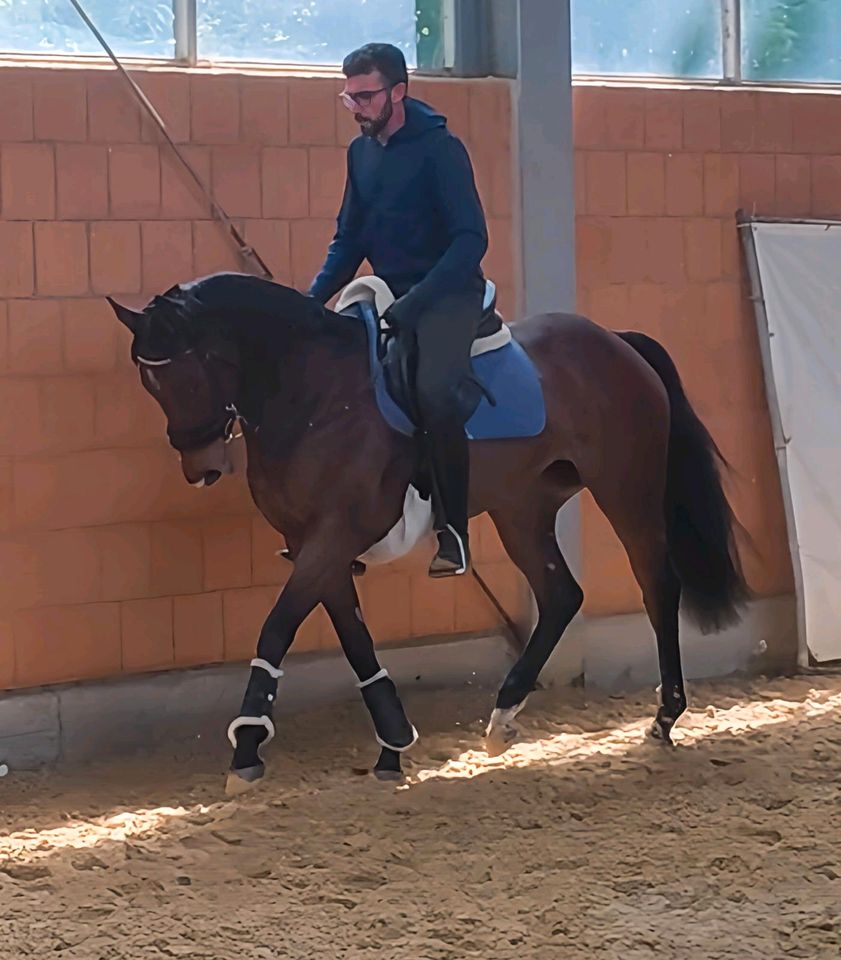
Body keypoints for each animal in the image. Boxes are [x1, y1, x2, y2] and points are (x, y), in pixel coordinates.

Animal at [106, 272, 748, 796]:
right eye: (151, 385)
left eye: (191, 374)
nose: (203, 468)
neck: (314, 394)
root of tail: (616, 339)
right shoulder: (316, 542)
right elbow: (354, 639)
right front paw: (393, 744)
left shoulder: (334, 535)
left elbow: (277, 628)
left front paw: (246, 748)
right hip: (522, 509)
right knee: (561, 596)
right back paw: (502, 718)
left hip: (625, 491)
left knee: (657, 585)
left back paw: (664, 717)